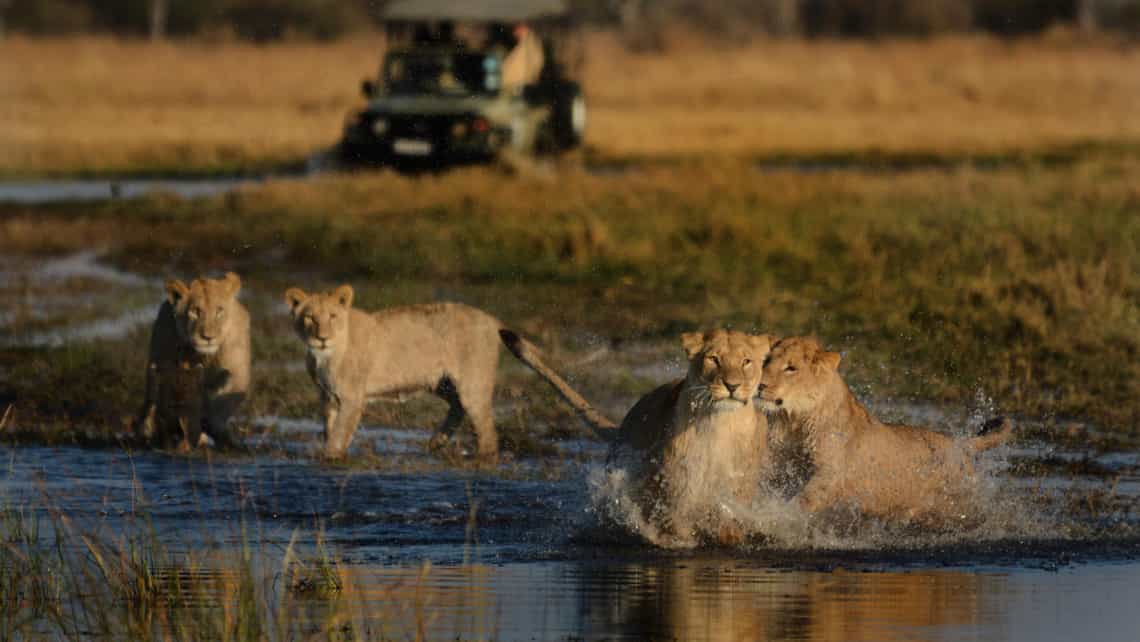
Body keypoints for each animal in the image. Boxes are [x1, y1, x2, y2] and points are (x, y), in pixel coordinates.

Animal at [133, 273, 249, 449]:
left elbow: (225, 401)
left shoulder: (237, 370)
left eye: (219, 311)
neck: (204, 356)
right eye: (195, 311)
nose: (208, 337)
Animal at [756, 339, 1016, 524]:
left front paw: (775, 517)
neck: (793, 421)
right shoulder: (780, 468)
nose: (759, 385)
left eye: (791, 368)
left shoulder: (830, 474)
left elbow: (802, 501)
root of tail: (959, 444)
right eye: (765, 361)